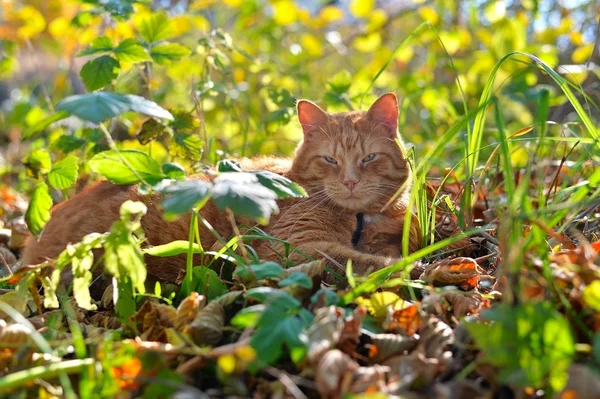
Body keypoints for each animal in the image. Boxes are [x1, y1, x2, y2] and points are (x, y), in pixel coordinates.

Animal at [22, 94, 418, 292]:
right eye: (330, 160)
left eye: (368, 158)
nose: (350, 182)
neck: (360, 220)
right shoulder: (293, 248)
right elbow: (353, 260)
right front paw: (404, 267)